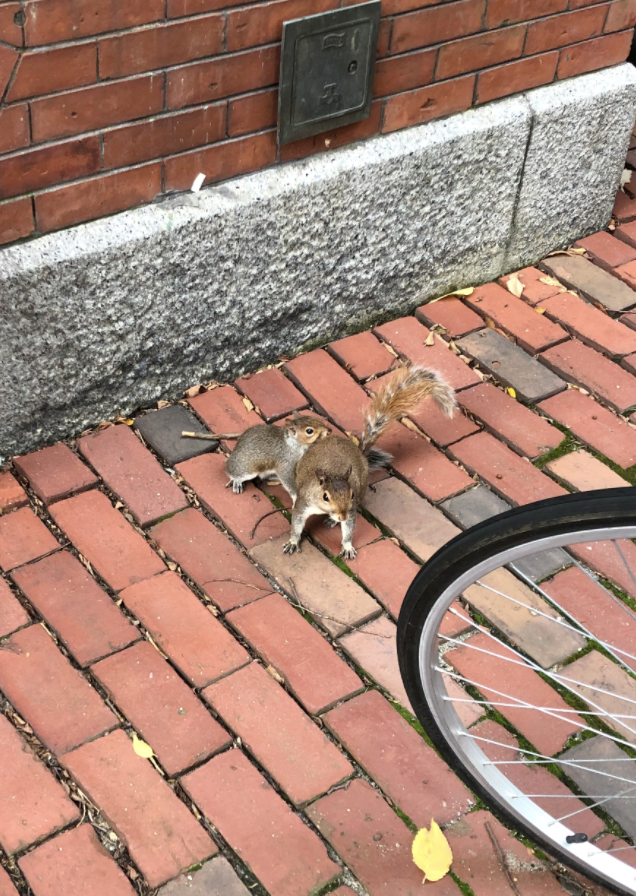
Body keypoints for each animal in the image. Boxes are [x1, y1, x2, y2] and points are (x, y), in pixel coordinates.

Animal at [282, 365, 457, 560]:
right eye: (325, 496)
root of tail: (359, 452)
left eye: (351, 494)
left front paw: (347, 545)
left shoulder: (351, 509)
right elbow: (297, 523)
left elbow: (349, 529)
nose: (341, 516)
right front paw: (292, 542)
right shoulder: (303, 503)